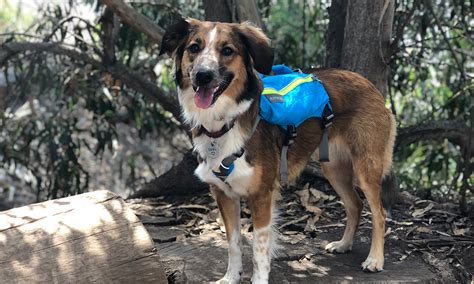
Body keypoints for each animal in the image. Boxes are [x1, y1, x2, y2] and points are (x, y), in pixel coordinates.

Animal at [159, 18, 396, 282]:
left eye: (227, 50)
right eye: (194, 47)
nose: (203, 76)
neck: (224, 123)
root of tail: (370, 85)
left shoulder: (262, 195)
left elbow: (259, 248)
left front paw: (258, 279)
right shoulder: (224, 194)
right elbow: (234, 242)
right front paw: (231, 277)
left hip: (366, 167)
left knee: (379, 212)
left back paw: (375, 259)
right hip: (333, 168)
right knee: (355, 204)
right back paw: (343, 244)